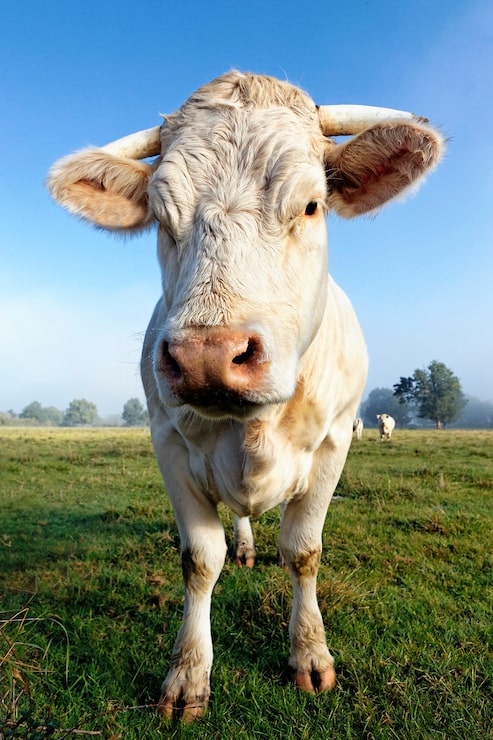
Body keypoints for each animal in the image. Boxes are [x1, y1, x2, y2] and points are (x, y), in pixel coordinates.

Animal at [47, 71, 444, 721]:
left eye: (311, 205)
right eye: (163, 218)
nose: (207, 356)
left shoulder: (335, 442)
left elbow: (304, 551)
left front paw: (309, 654)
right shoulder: (168, 443)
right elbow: (199, 560)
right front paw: (189, 675)